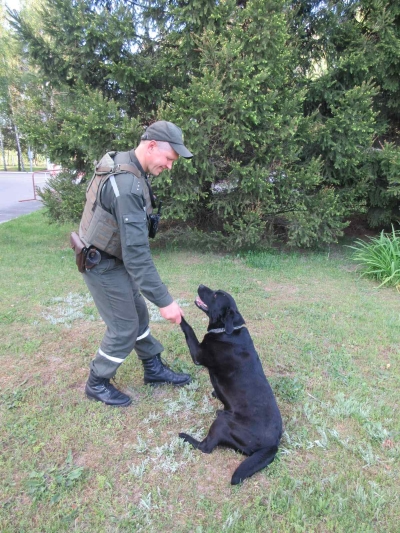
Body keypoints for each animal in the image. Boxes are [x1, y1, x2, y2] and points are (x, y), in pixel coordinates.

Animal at [180, 284, 282, 484]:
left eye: (215, 295)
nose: (201, 285)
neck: (228, 330)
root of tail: (272, 446)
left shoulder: (198, 354)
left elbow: (188, 328)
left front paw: (177, 315)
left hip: (222, 424)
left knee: (206, 447)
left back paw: (185, 437)